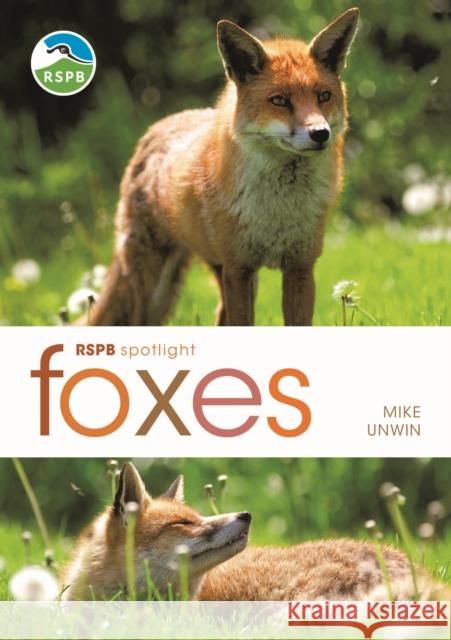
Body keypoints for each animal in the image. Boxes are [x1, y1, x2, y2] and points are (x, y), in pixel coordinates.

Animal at [88, 9, 360, 327]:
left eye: (323, 96)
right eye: (279, 100)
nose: (320, 133)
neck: (278, 209)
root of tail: (156, 128)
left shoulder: (300, 267)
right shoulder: (239, 268)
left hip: (218, 274)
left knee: (219, 317)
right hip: (156, 287)